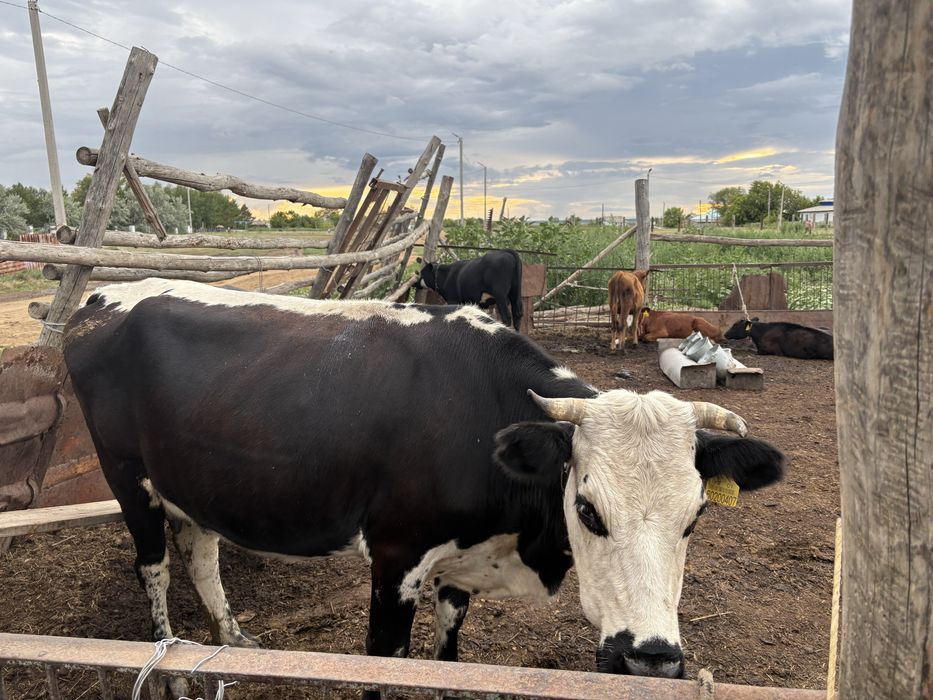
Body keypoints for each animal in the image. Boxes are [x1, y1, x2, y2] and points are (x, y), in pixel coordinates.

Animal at [63, 279, 784, 689]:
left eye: (694, 517)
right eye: (586, 508)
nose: (651, 660)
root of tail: (102, 297)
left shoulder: (457, 566)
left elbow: (446, 657)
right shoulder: (395, 559)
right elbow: (384, 664)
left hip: (195, 484)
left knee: (202, 553)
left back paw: (232, 640)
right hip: (126, 477)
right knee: (153, 568)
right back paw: (169, 659)